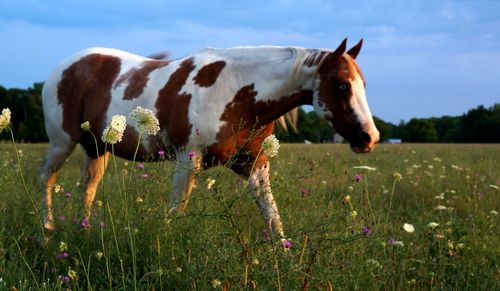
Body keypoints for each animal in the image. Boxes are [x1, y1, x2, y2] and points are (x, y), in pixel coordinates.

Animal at [40, 38, 378, 240]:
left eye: (363, 84)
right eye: (342, 85)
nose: (369, 137)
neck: (238, 94)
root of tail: (63, 68)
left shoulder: (254, 165)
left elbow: (273, 218)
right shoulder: (187, 160)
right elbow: (176, 212)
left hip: (97, 148)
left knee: (88, 188)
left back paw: (83, 230)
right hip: (62, 143)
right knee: (46, 179)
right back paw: (47, 229)